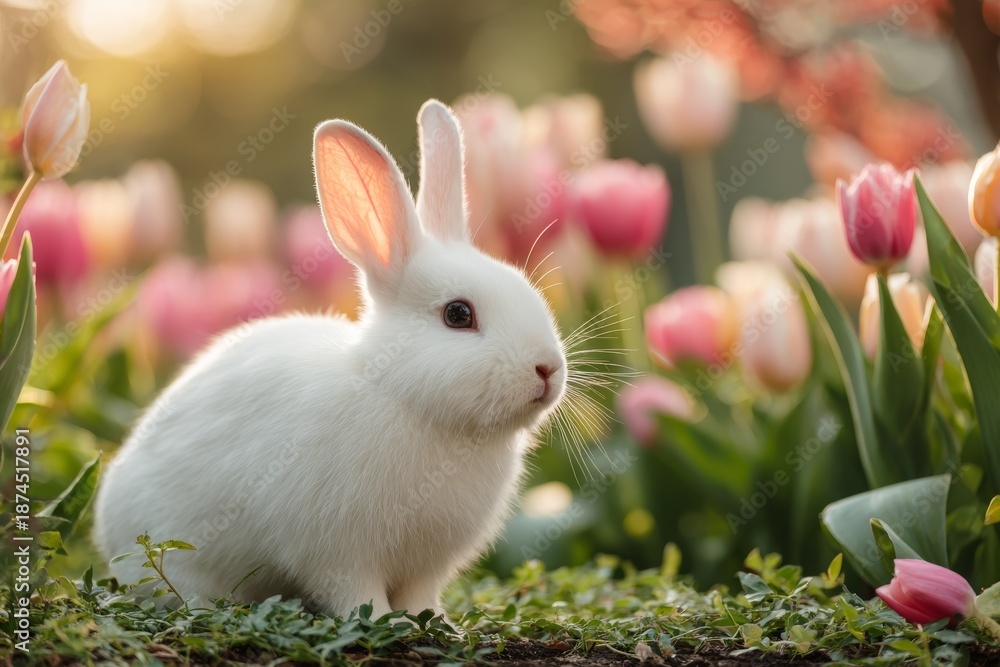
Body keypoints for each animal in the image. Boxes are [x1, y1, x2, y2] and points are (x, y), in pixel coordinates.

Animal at [92, 99, 567, 618]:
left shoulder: (428, 563)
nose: (547, 369)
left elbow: (421, 595)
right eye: (458, 314)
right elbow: (354, 592)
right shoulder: (335, 551)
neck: (403, 397)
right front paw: (383, 620)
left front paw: (437, 621)